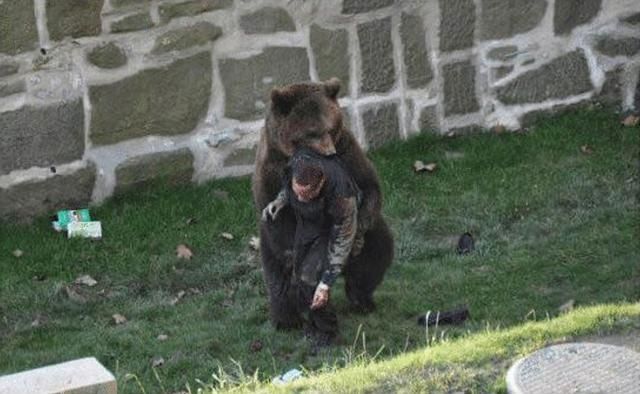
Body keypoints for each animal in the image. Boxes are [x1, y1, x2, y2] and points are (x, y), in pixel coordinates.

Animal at [251, 78, 392, 334]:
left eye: (330, 127)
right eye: (311, 132)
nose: (329, 152)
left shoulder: (347, 149)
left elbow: (369, 185)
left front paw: (356, 239)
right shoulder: (271, 168)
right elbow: (280, 216)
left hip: (372, 238)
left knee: (377, 252)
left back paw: (361, 299)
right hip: (268, 245)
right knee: (278, 276)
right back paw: (286, 319)